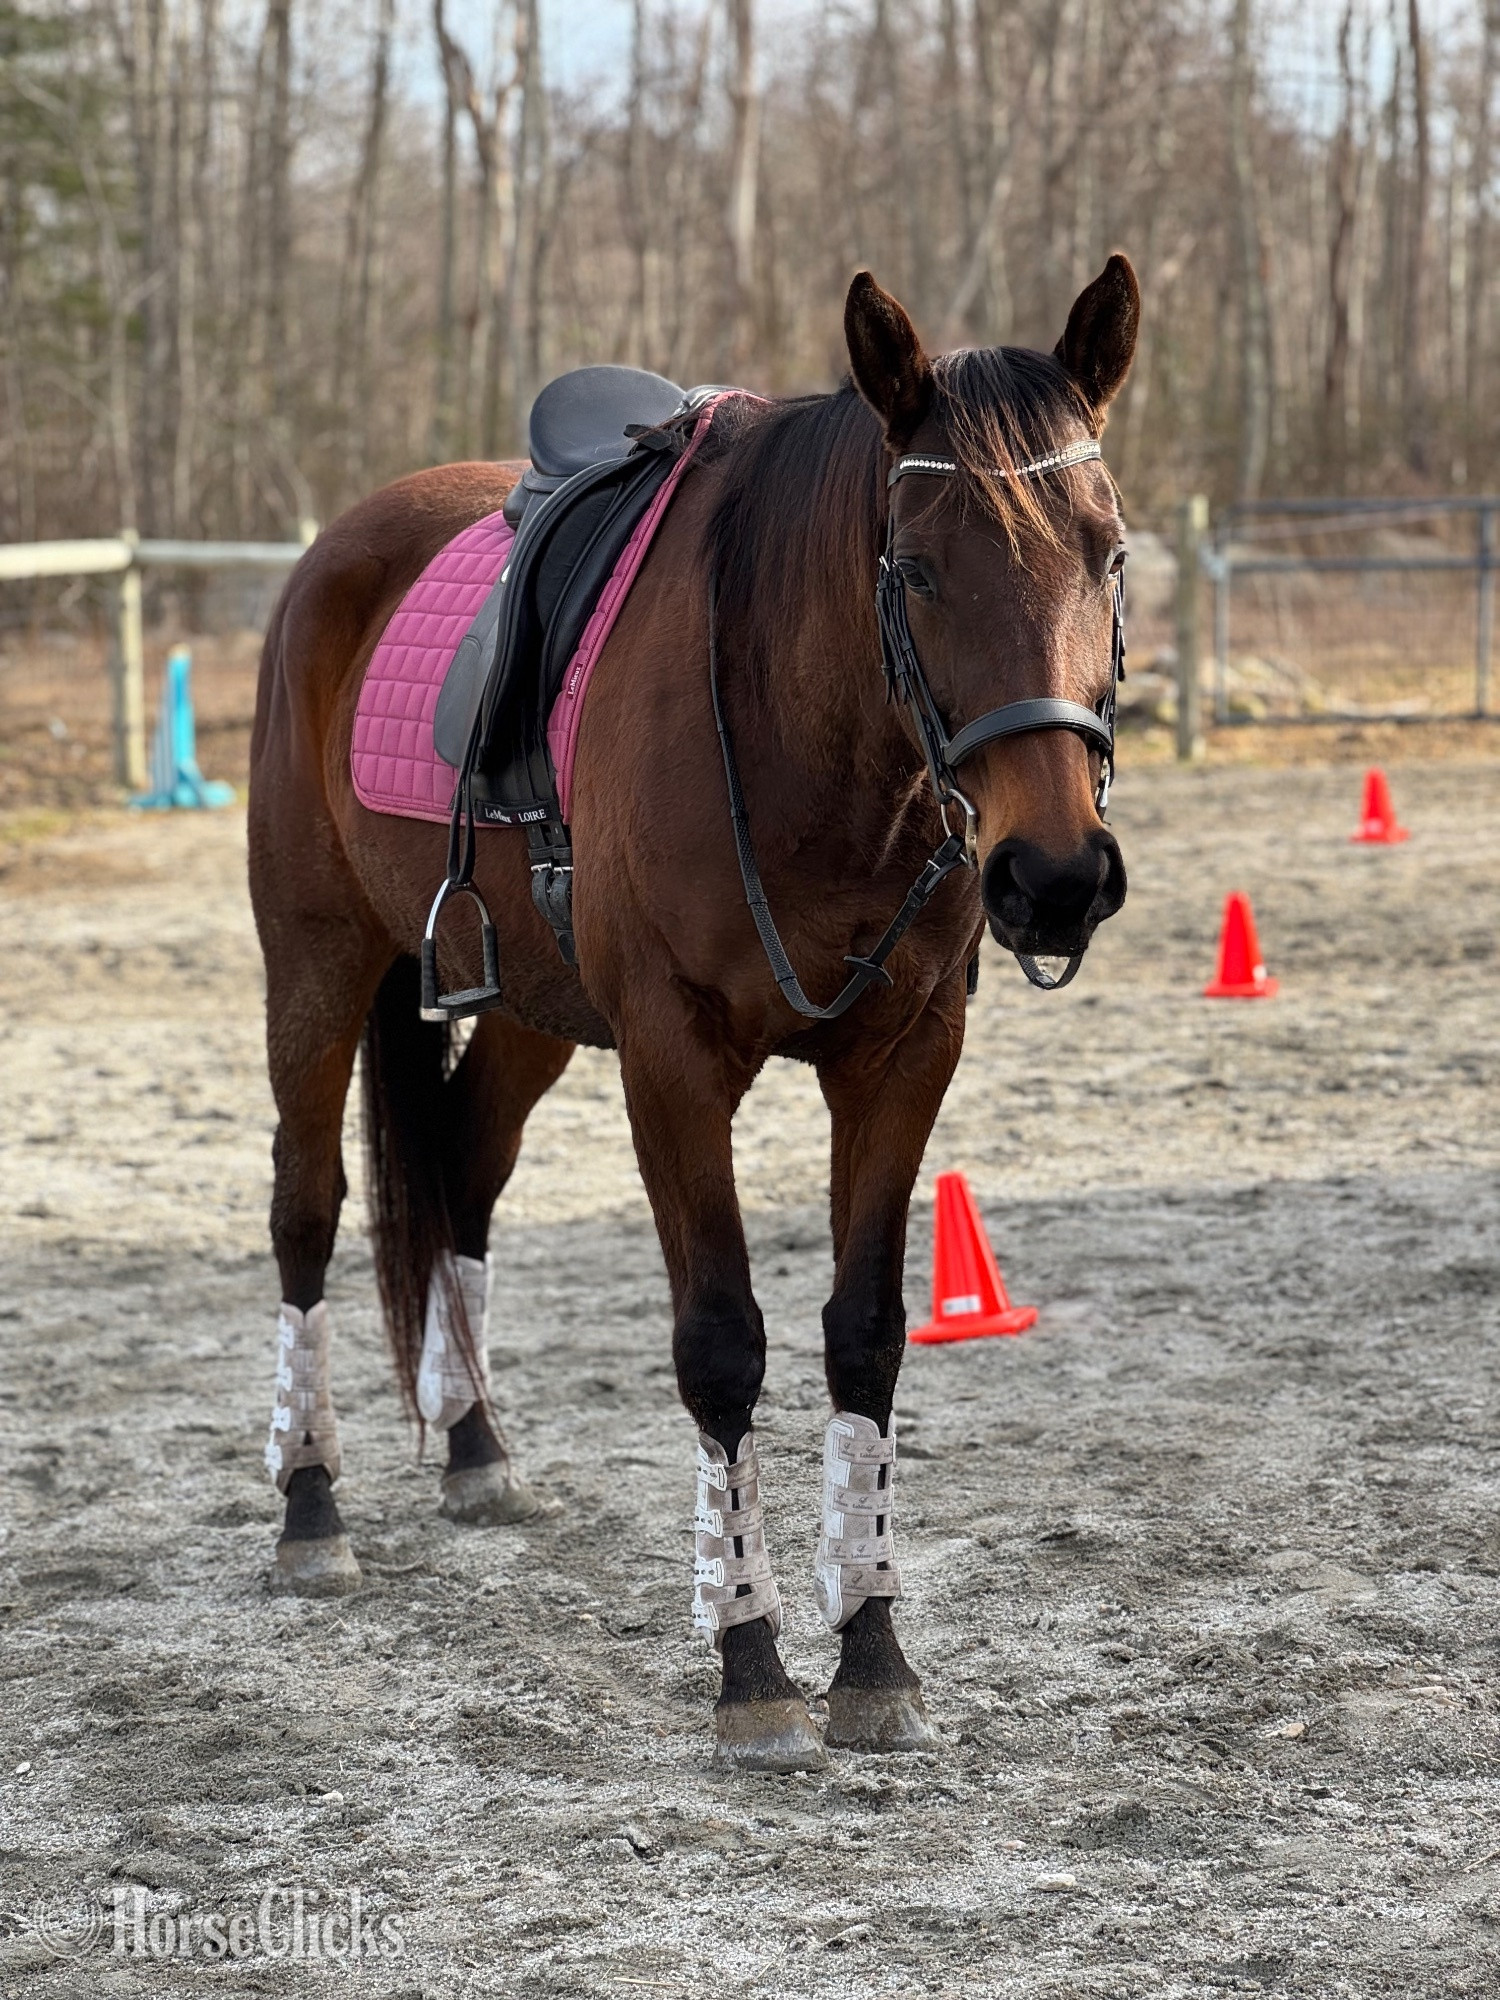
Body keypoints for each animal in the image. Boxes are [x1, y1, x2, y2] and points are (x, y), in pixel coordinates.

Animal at [247, 255, 1138, 1771]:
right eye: (916, 566)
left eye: (1110, 553)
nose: (1057, 877)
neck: (812, 737)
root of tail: (340, 547)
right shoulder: (671, 1061)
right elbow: (723, 1345)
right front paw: (754, 1666)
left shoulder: (904, 1056)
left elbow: (866, 1335)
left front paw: (874, 1652)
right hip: (313, 963)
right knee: (306, 1211)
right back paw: (312, 1505)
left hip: (532, 1007)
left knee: (462, 1175)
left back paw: (477, 1446)